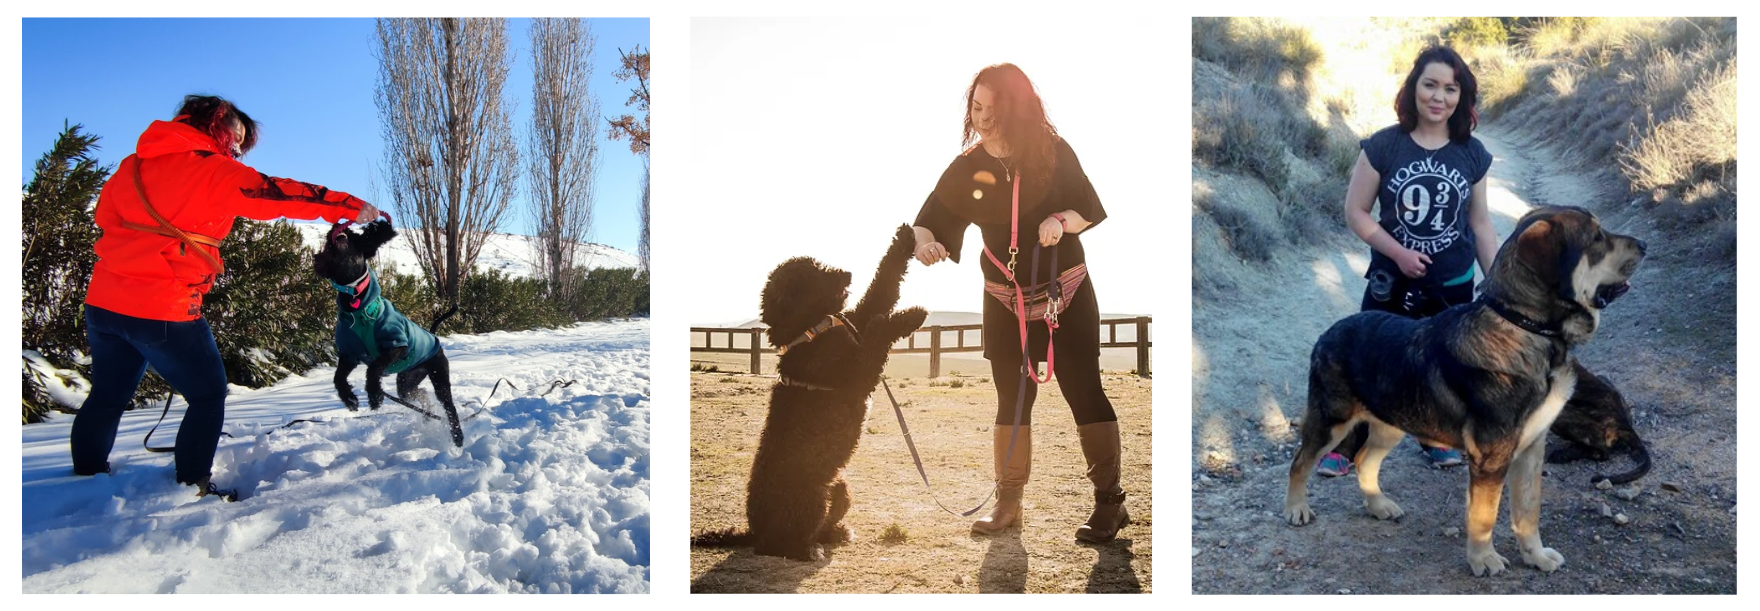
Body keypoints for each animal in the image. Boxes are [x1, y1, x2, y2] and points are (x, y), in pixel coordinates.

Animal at [313, 217, 461, 447]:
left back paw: (458, 437)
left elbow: (374, 368)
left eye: (342, 240)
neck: (356, 305)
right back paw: (428, 414)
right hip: (407, 380)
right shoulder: (349, 354)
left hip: (439, 376)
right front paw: (350, 399)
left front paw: (375, 396)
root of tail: (434, 337)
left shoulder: (395, 344)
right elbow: (338, 378)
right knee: (420, 394)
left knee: (449, 406)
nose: (336, 226)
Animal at [689, 223, 936, 559]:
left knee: (824, 522)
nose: (846, 273)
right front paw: (910, 316)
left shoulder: (855, 321)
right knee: (780, 544)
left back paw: (835, 534)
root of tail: (753, 532)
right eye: (815, 276)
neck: (811, 332)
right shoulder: (857, 374)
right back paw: (807, 549)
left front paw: (904, 239)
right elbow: (876, 330)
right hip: (809, 500)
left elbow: (883, 286)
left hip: (840, 486)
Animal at [1288, 208, 1640, 577]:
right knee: (1300, 462)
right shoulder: (1491, 457)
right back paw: (1296, 508)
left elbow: (1528, 512)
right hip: (1332, 422)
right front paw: (1483, 558)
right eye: (1597, 238)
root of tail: (1328, 332)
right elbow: (1484, 516)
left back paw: (1378, 505)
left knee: (1364, 461)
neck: (1523, 328)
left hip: (1392, 423)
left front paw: (1536, 556)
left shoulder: (1532, 449)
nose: (1644, 245)